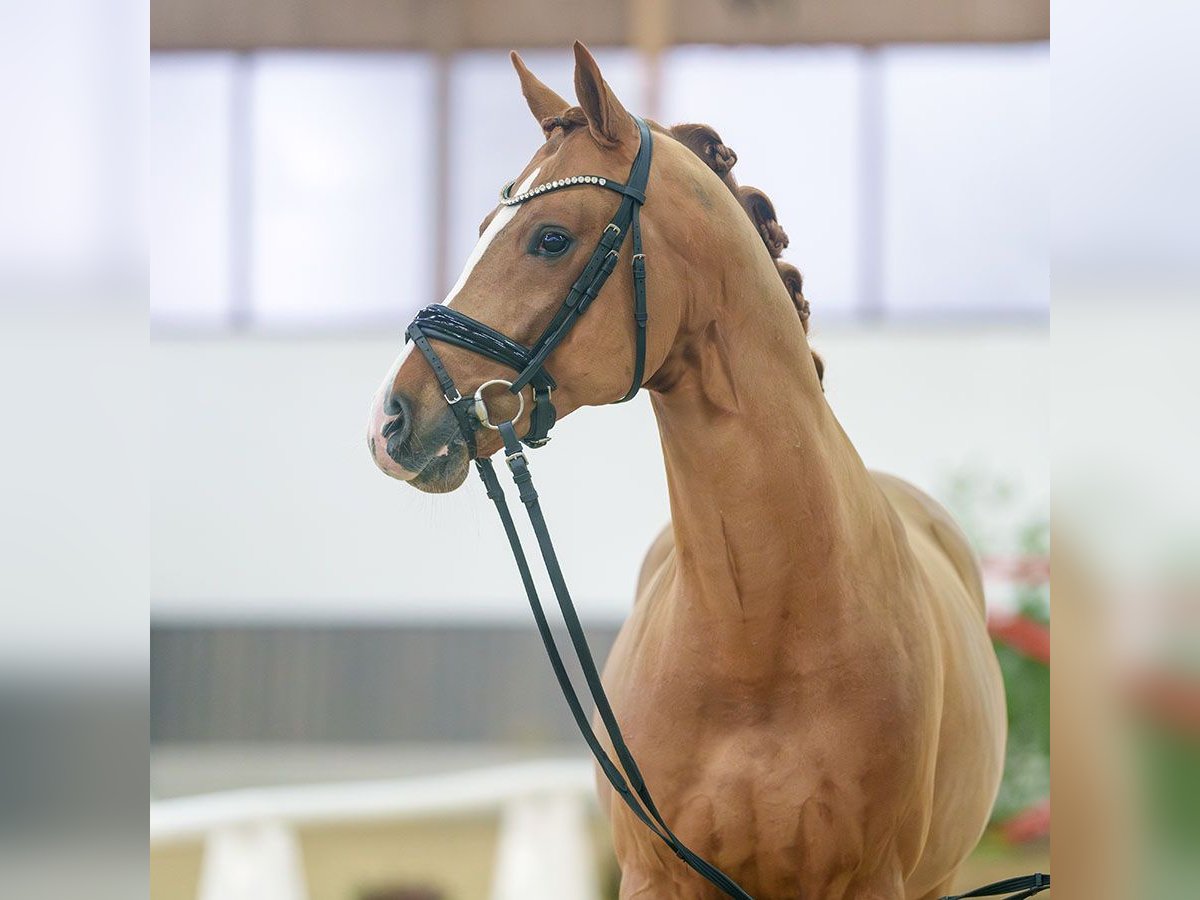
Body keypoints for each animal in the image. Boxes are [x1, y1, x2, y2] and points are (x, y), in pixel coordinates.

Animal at [369, 45, 1008, 900]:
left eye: (549, 238)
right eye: (479, 230)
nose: (391, 421)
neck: (755, 643)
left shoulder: (874, 883)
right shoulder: (656, 877)